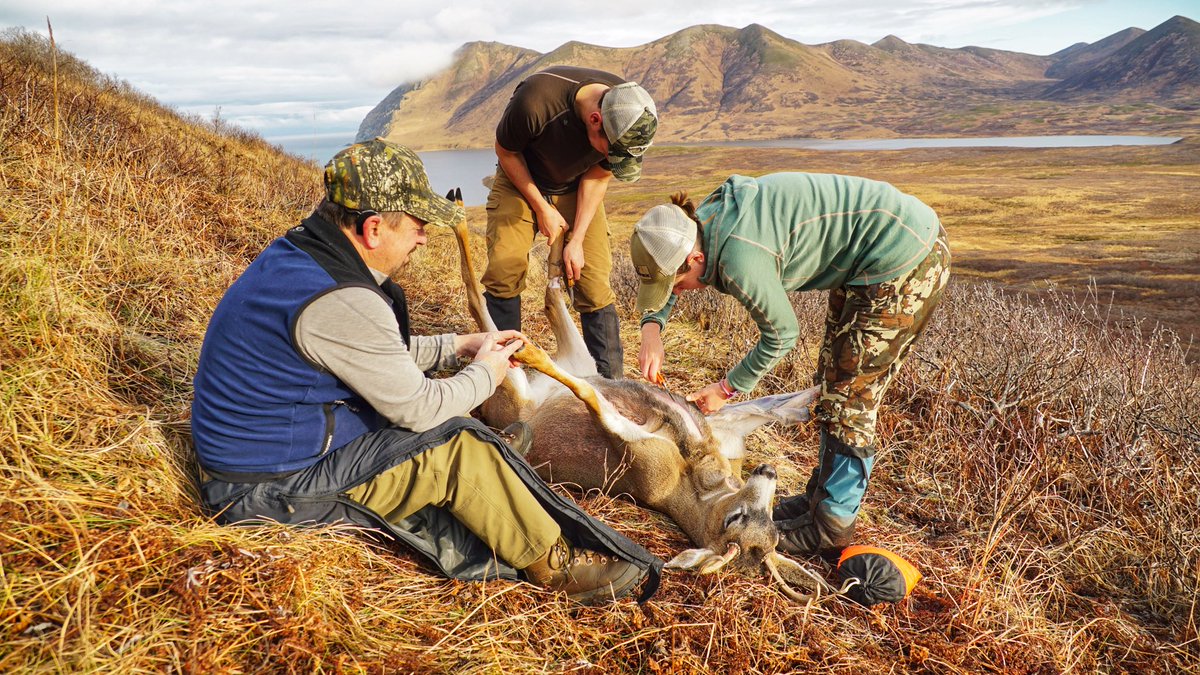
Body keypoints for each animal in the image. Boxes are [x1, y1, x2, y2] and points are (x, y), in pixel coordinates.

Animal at [446, 189, 839, 602]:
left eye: (770, 527)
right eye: (740, 516)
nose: (768, 469)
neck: (700, 479)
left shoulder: (648, 448)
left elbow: (591, 394)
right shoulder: (709, 432)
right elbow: (762, 407)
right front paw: (817, 393)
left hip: (530, 378)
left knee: (507, 303)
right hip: (560, 363)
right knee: (529, 297)